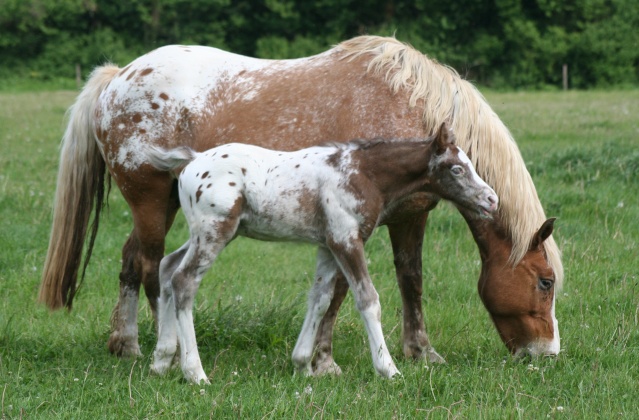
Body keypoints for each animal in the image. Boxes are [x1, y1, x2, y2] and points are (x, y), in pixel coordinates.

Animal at [148, 122, 498, 384]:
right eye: (456, 169)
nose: (492, 199)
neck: (362, 173)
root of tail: (192, 161)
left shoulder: (327, 245)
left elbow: (319, 298)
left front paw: (303, 365)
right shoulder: (347, 239)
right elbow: (368, 300)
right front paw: (389, 369)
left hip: (210, 233)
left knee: (167, 267)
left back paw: (161, 361)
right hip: (214, 231)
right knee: (184, 281)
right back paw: (195, 373)